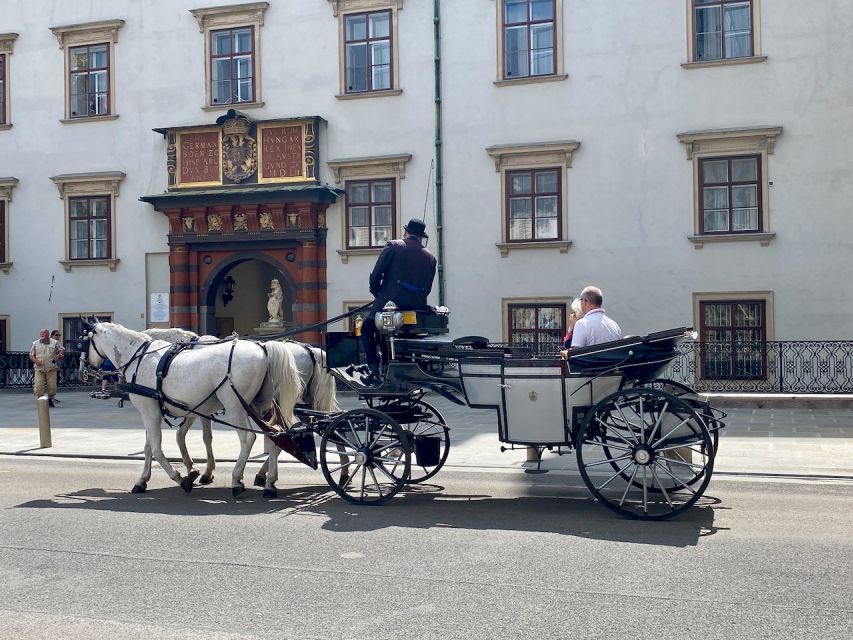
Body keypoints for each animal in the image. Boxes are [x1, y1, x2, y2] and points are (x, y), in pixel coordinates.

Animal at [77, 322, 302, 498]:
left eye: (82, 342)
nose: (82, 371)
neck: (140, 358)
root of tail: (263, 348)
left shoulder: (150, 411)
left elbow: (156, 449)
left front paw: (181, 478)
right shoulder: (159, 411)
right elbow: (150, 447)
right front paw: (143, 480)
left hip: (235, 405)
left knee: (248, 439)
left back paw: (237, 479)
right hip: (261, 404)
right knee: (274, 437)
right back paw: (269, 482)